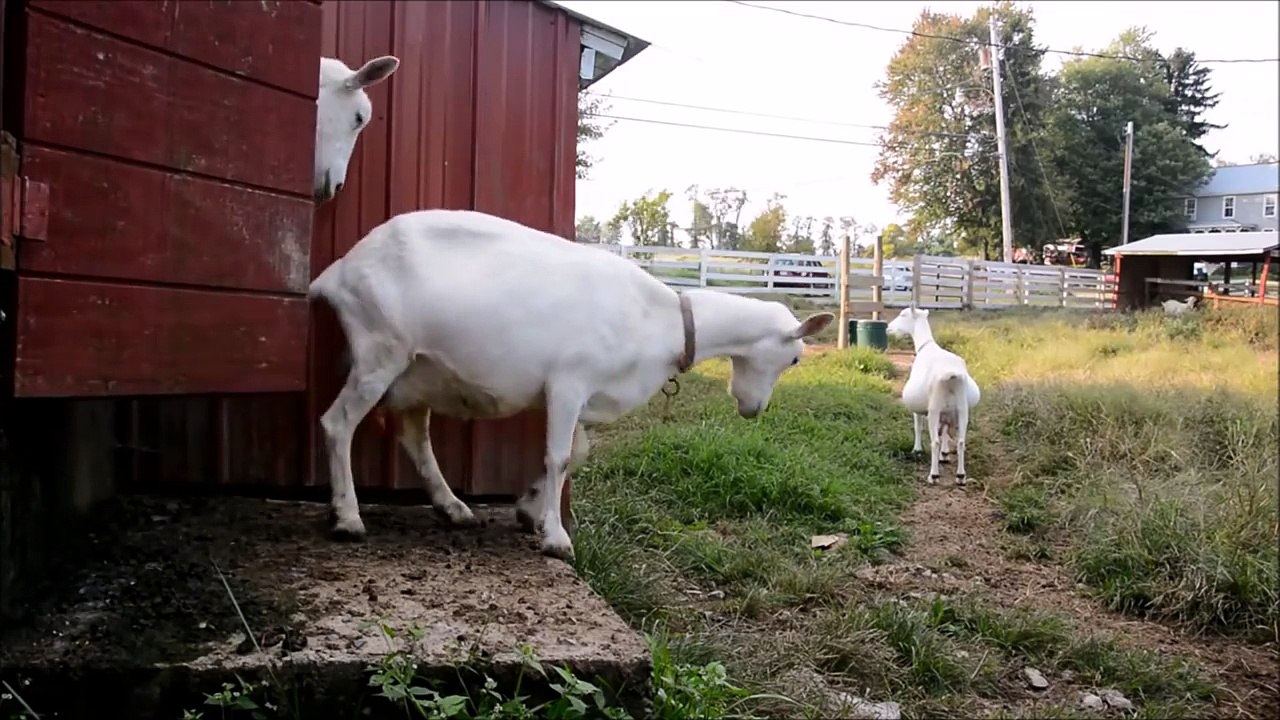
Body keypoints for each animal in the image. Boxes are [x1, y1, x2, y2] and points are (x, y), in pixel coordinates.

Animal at [308, 209, 834, 559]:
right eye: (794, 357)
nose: (753, 409)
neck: (661, 320)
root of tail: (337, 272)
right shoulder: (567, 382)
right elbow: (560, 455)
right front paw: (556, 537)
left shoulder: (580, 394)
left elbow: (578, 452)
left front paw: (528, 508)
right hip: (380, 348)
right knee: (337, 423)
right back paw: (349, 517)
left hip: (418, 371)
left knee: (414, 437)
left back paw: (452, 507)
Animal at [885, 307, 981, 485]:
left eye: (903, 314)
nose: (888, 328)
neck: (926, 346)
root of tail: (951, 375)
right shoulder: (948, 413)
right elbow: (944, 431)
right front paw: (945, 455)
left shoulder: (919, 409)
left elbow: (918, 427)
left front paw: (916, 450)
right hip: (962, 409)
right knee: (961, 441)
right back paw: (961, 475)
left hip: (934, 408)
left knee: (934, 442)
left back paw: (934, 475)